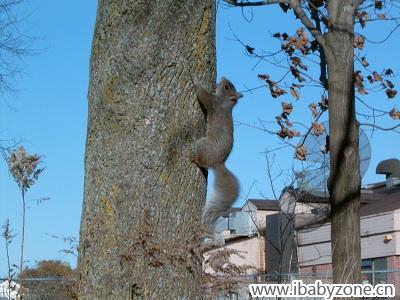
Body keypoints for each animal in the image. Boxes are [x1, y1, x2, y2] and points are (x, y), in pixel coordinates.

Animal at [191, 77, 244, 227]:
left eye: (226, 87)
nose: (223, 77)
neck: (225, 102)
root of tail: (218, 163)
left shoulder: (213, 103)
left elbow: (203, 96)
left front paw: (195, 81)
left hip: (203, 145)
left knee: (203, 163)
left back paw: (196, 159)